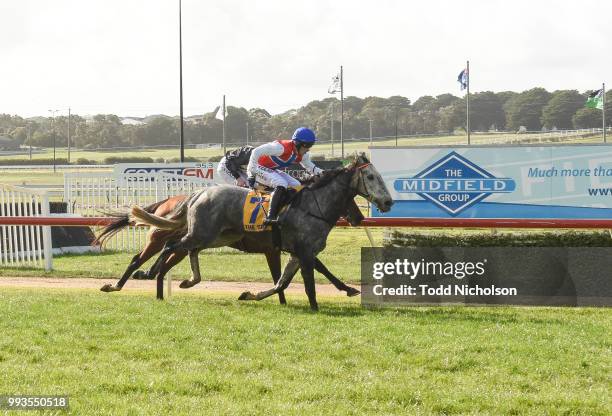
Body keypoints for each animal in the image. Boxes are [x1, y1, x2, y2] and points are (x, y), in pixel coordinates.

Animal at [97, 193, 364, 304]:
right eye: (348, 199)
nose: (359, 216)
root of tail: (172, 201)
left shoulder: (285, 249)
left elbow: (298, 272)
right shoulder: (282, 248)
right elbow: (306, 270)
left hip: (186, 244)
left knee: (165, 265)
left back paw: (162, 290)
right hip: (160, 239)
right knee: (138, 259)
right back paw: (118, 284)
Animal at [131, 154, 394, 310]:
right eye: (371, 176)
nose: (388, 202)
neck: (313, 205)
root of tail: (198, 193)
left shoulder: (298, 253)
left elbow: (281, 283)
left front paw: (250, 294)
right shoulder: (304, 252)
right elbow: (309, 282)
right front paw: (316, 306)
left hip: (215, 236)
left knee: (189, 251)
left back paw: (187, 280)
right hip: (202, 234)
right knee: (170, 247)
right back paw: (148, 272)